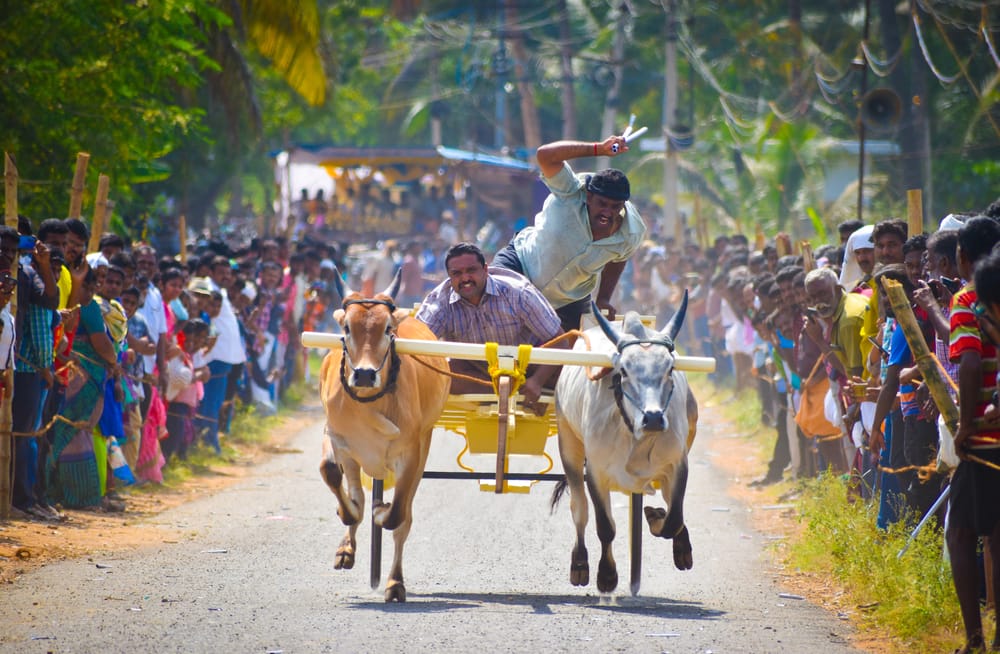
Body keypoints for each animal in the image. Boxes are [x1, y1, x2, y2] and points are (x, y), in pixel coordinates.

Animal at [320, 272, 450, 604]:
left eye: (388, 328)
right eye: (347, 327)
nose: (365, 374)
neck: (369, 401)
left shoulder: (413, 453)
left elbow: (395, 516)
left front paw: (381, 512)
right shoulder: (335, 434)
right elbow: (336, 481)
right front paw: (349, 515)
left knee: (403, 519)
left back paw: (394, 582)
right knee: (355, 491)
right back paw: (346, 548)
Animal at [552, 294, 700, 596]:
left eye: (670, 369)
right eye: (624, 371)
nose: (653, 417)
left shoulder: (679, 463)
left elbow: (674, 518)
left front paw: (660, 522)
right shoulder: (596, 472)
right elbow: (605, 527)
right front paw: (607, 575)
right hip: (569, 446)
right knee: (579, 510)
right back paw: (579, 563)